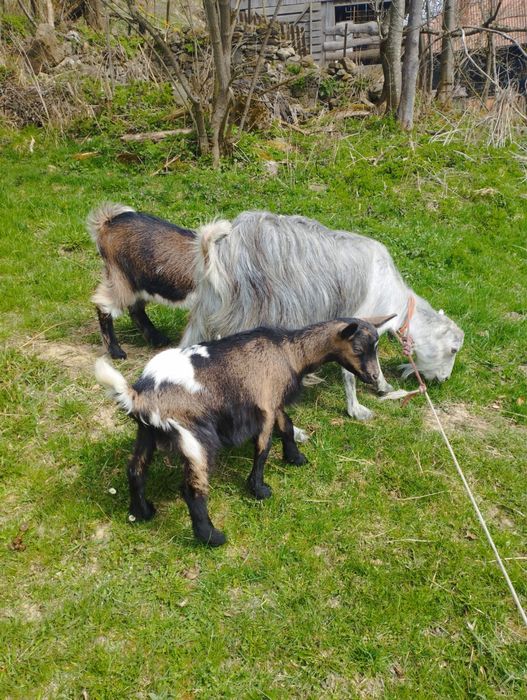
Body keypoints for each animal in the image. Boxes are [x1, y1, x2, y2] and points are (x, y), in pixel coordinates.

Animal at [88, 203, 196, 360]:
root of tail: (108, 222)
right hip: (120, 277)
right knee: (103, 305)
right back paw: (116, 351)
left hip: (140, 284)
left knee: (135, 309)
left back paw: (157, 339)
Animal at [95, 314, 394, 546]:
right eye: (358, 349)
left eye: (376, 347)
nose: (372, 377)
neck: (289, 352)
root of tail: (139, 394)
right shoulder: (264, 404)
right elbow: (263, 447)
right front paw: (259, 489)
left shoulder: (273, 402)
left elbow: (286, 427)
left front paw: (295, 458)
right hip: (195, 437)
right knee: (192, 488)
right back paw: (212, 537)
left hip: (146, 432)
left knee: (135, 470)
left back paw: (142, 512)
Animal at [181, 212, 465, 420]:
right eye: (453, 349)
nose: (444, 379)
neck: (396, 299)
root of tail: (220, 248)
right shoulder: (357, 323)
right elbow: (350, 373)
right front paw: (356, 410)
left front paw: (383, 386)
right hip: (249, 312)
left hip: (205, 310)